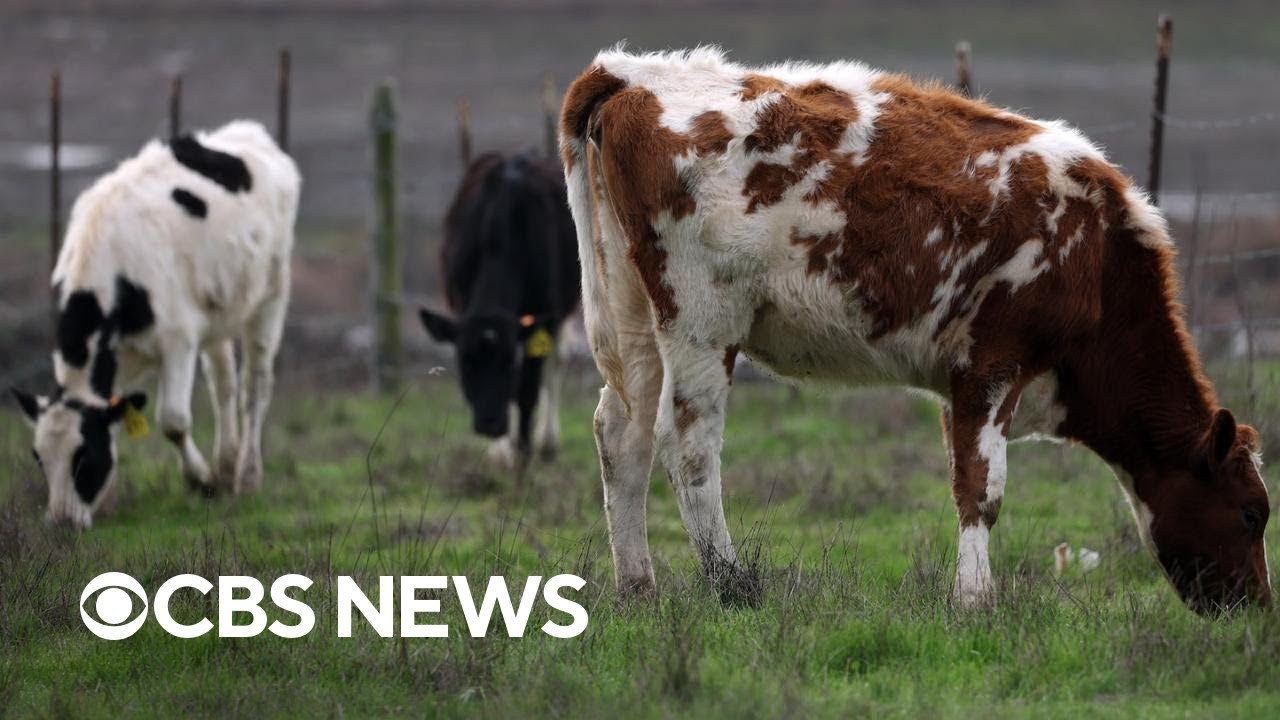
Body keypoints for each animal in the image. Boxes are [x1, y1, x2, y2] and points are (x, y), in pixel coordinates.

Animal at [11, 120, 299, 529]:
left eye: (85, 455)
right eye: (39, 458)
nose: (62, 521)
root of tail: (246, 132)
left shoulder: (178, 340)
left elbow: (173, 420)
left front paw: (202, 482)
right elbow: (118, 418)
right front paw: (108, 501)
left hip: (270, 295)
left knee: (254, 388)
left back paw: (246, 476)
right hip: (217, 313)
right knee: (224, 386)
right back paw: (226, 464)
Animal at [419, 150, 580, 470]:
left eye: (507, 362)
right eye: (466, 362)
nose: (490, 424)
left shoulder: (545, 315)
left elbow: (527, 389)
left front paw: (524, 454)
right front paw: (503, 452)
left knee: (555, 364)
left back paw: (546, 443)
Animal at [560, 47, 1271, 613]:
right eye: (1252, 512)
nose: (1258, 610)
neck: (1097, 258)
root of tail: (632, 72)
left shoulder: (960, 379)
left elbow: (964, 481)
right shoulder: (993, 363)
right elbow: (982, 490)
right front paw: (976, 601)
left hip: (633, 318)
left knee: (621, 436)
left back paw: (638, 588)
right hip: (702, 321)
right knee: (689, 449)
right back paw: (732, 584)